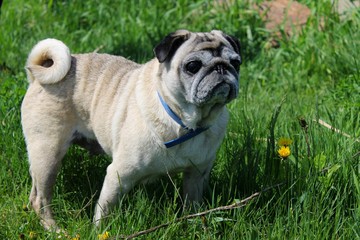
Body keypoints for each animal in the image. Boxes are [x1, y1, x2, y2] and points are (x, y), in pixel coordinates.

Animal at [22, 30, 242, 231]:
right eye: (193, 66)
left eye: (236, 63)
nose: (221, 67)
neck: (185, 123)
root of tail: (37, 75)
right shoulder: (119, 175)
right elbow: (105, 209)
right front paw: (99, 232)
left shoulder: (196, 175)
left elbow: (193, 206)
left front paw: (195, 227)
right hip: (48, 153)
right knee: (41, 199)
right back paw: (54, 229)